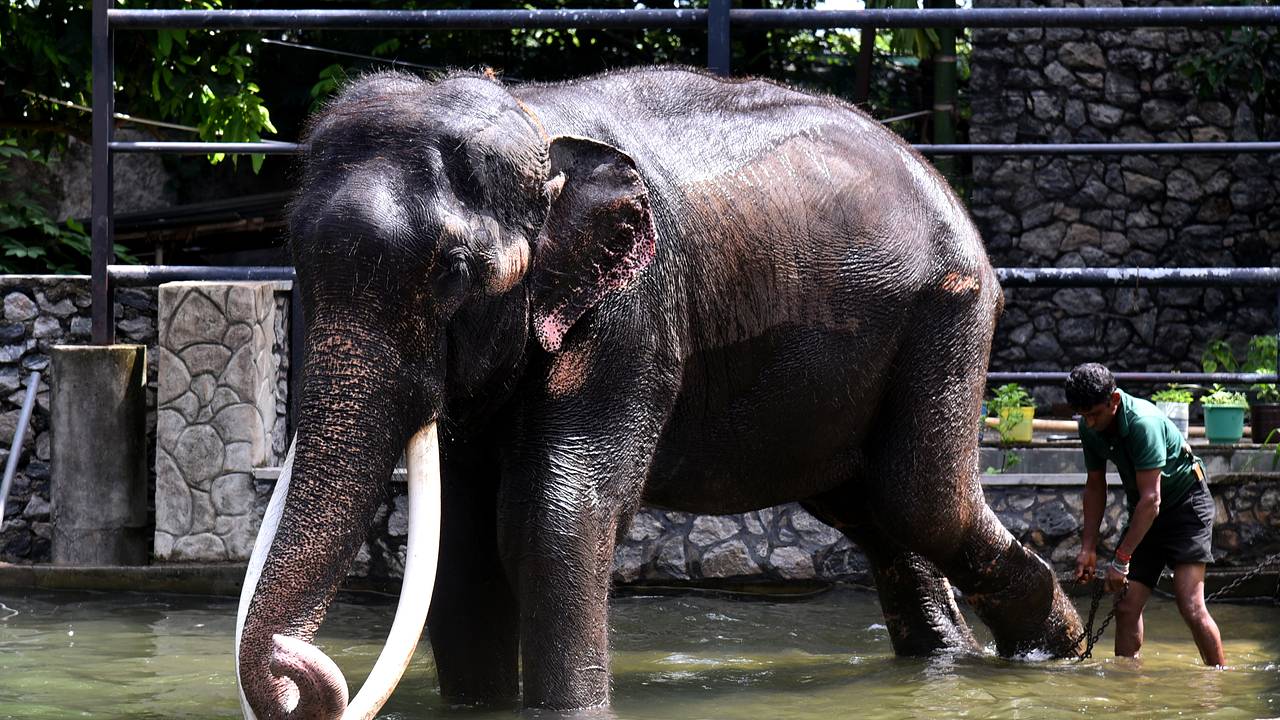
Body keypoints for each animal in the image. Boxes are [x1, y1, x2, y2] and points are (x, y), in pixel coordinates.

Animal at [235, 67, 1085, 717]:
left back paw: (1056, 649)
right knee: (868, 509)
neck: (538, 124)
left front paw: (569, 711)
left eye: (452, 270)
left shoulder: (632, 312)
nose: (294, 668)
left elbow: (551, 513)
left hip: (948, 311)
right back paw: (954, 658)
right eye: (295, 257)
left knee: (918, 499)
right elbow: (465, 535)